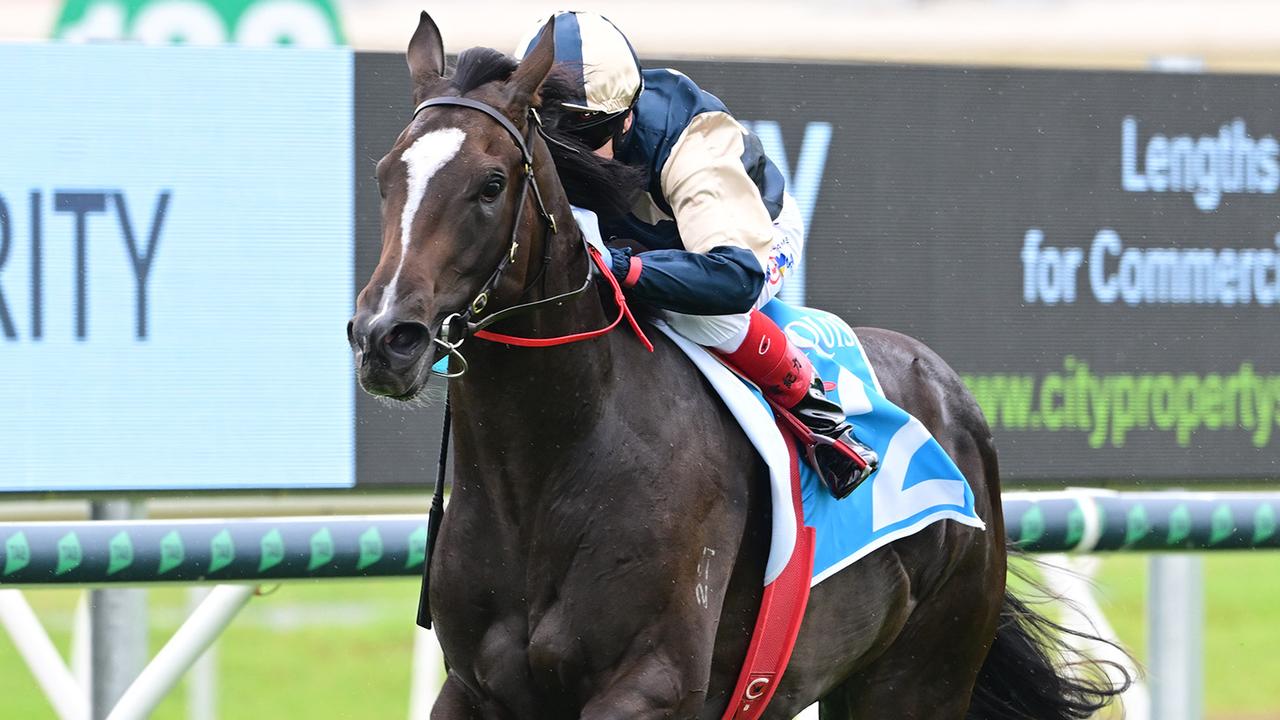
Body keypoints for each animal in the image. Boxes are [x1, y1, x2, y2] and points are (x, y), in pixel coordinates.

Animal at [348, 12, 1121, 717]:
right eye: (385, 176)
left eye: (490, 183)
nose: (387, 337)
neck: (546, 472)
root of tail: (951, 394)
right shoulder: (476, 689)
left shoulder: (651, 687)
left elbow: (729, 268)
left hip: (921, 674)